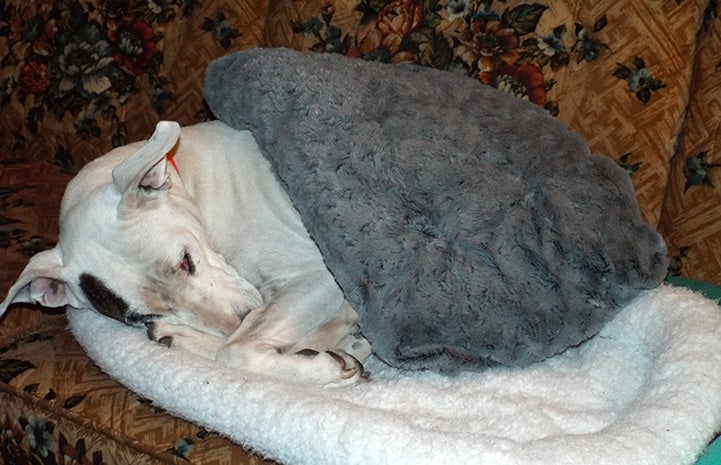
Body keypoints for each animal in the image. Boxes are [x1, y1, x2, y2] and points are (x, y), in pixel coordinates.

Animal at [0, 119, 372, 384]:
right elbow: (234, 346)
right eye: (143, 316)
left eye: (186, 260)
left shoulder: (318, 277)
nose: (240, 319)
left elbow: (235, 350)